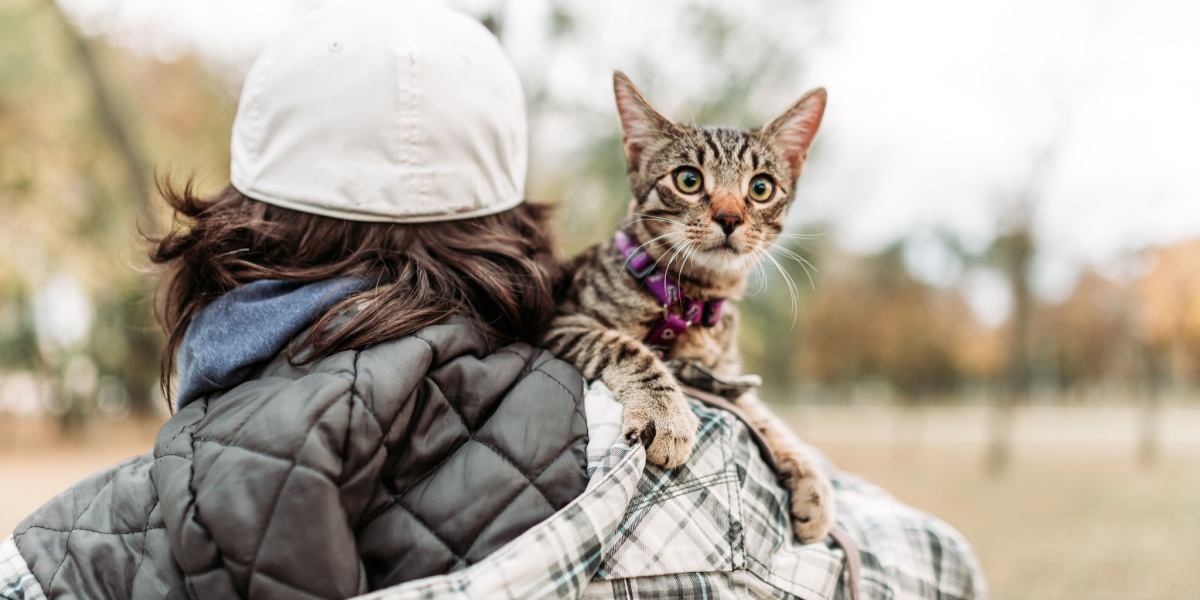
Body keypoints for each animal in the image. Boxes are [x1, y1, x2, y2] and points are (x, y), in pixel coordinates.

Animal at [544, 72, 835, 542]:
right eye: (688, 180)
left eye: (760, 188)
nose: (731, 218)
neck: (692, 302)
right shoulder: (561, 321)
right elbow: (625, 346)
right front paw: (667, 414)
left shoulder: (721, 375)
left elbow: (759, 413)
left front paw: (811, 479)